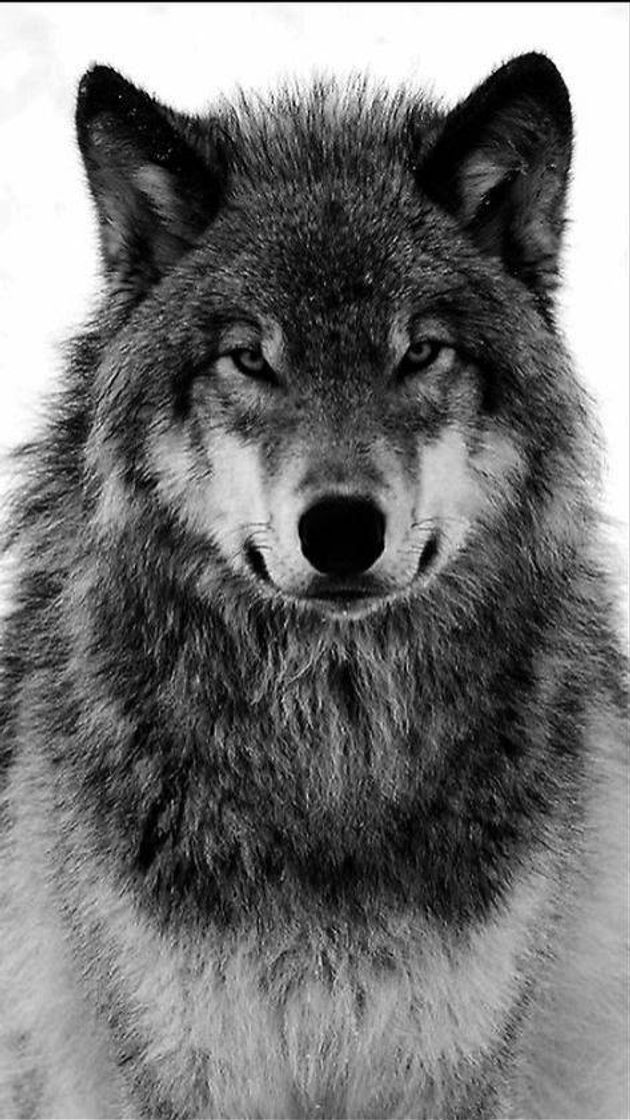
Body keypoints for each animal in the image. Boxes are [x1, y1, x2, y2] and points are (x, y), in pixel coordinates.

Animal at [0, 51, 627, 1120]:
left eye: (420, 351)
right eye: (251, 357)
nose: (340, 529)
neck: (330, 758)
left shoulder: (453, 1057)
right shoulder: (185, 1059)